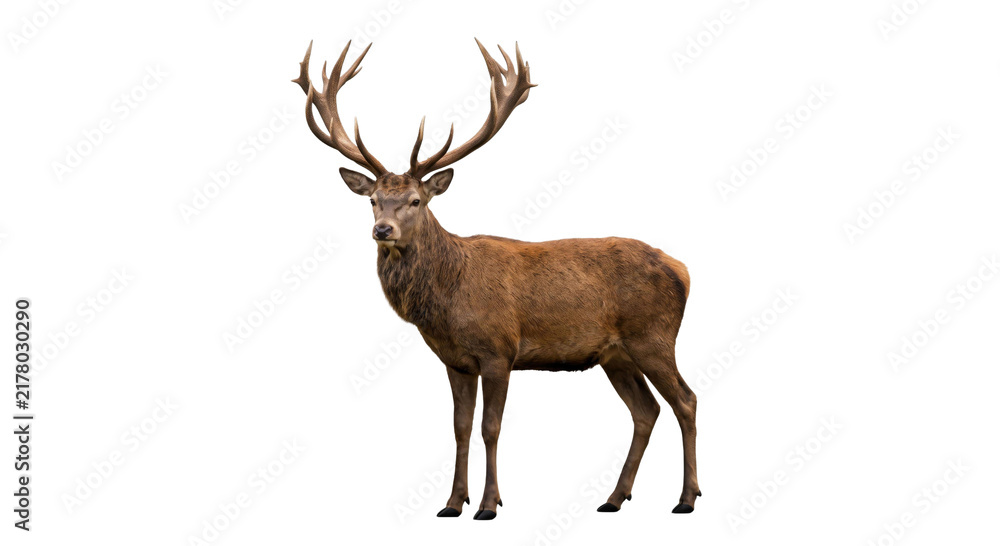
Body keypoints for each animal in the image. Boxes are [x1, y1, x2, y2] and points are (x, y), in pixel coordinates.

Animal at [293, 39, 700, 520]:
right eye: (373, 200)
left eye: (415, 200)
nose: (382, 230)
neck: (447, 302)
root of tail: (683, 269)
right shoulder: (454, 361)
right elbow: (460, 428)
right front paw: (452, 503)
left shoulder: (499, 350)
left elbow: (491, 427)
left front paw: (489, 504)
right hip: (615, 355)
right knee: (646, 410)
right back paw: (615, 497)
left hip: (653, 336)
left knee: (685, 400)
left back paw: (686, 498)